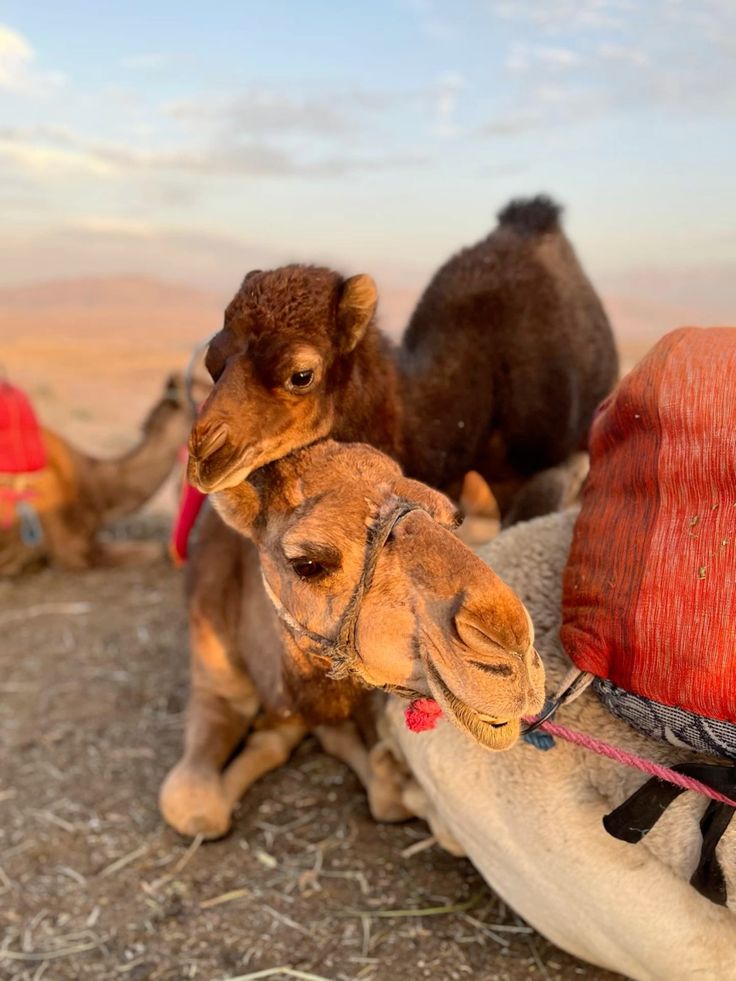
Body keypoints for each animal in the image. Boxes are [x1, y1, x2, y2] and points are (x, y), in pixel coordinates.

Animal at [159, 440, 545, 838]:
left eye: (452, 520)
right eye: (307, 564)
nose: (512, 653)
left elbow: (385, 794)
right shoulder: (217, 687)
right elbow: (193, 808)